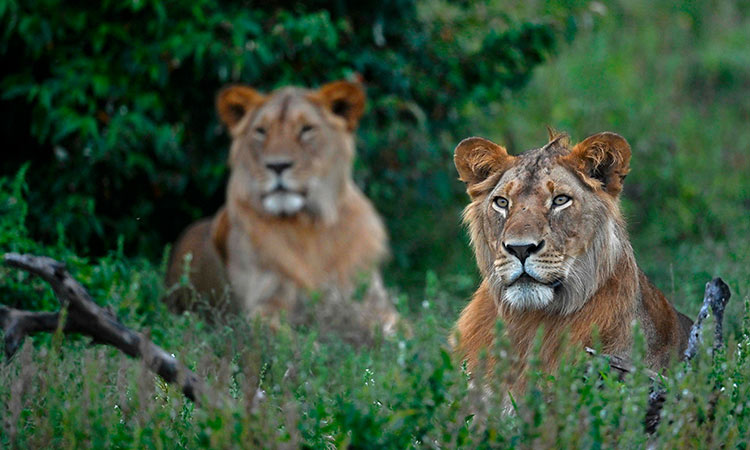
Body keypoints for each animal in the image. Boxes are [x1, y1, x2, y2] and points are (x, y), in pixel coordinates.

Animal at [164, 80, 400, 342]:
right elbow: (287, 339)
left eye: (306, 129)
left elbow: (398, 333)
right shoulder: (262, 307)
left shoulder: (376, 304)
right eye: (261, 131)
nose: (277, 166)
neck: (311, 226)